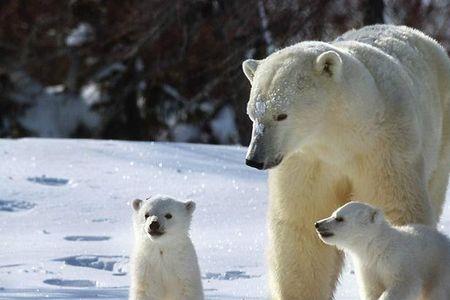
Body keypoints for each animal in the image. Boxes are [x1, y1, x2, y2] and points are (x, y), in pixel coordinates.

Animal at [314, 202, 450, 300]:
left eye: (339, 218)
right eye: (333, 214)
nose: (317, 224)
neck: (378, 247)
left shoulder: (398, 262)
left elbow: (404, 284)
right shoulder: (368, 268)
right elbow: (372, 290)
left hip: (439, 270)